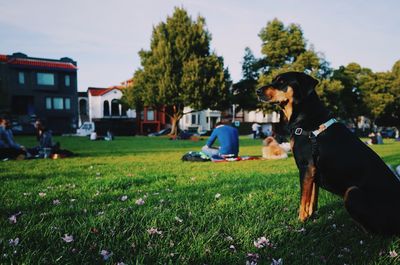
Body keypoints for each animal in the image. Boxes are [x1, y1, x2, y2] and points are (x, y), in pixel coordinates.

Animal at [256, 70, 400, 233]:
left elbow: (303, 200)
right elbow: (312, 199)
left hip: (352, 193)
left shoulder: (307, 167)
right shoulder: (313, 170)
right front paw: (311, 218)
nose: (257, 91)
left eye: (281, 82)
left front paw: (300, 221)